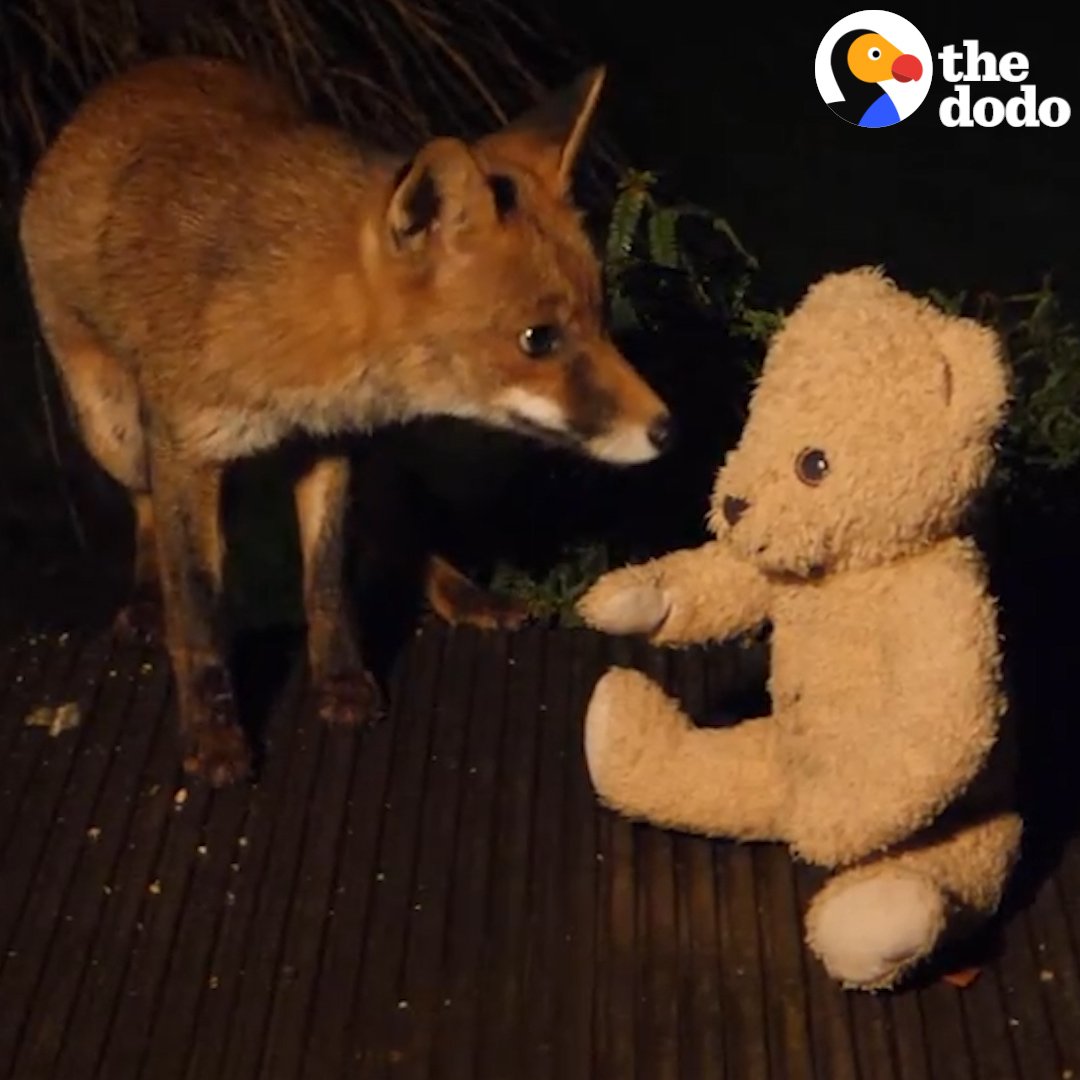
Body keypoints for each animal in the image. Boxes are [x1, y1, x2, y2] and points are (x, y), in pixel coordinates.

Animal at [18, 56, 673, 787]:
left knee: (396, 521)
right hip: (114, 430)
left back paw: (458, 590)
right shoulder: (186, 450)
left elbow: (328, 580)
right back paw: (142, 598)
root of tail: (134, 80)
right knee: (143, 509)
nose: (666, 428)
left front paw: (341, 681)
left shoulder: (332, 442)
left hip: (374, 448)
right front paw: (214, 735)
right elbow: (198, 608)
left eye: (601, 318)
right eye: (538, 339)